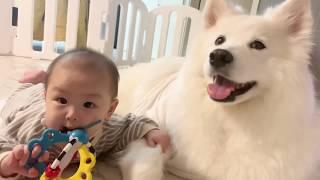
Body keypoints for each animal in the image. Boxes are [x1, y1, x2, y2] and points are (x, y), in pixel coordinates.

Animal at [115, 0, 320, 180]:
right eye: (219, 40)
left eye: (258, 45)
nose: (219, 55)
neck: (228, 119)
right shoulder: (152, 129)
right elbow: (146, 165)